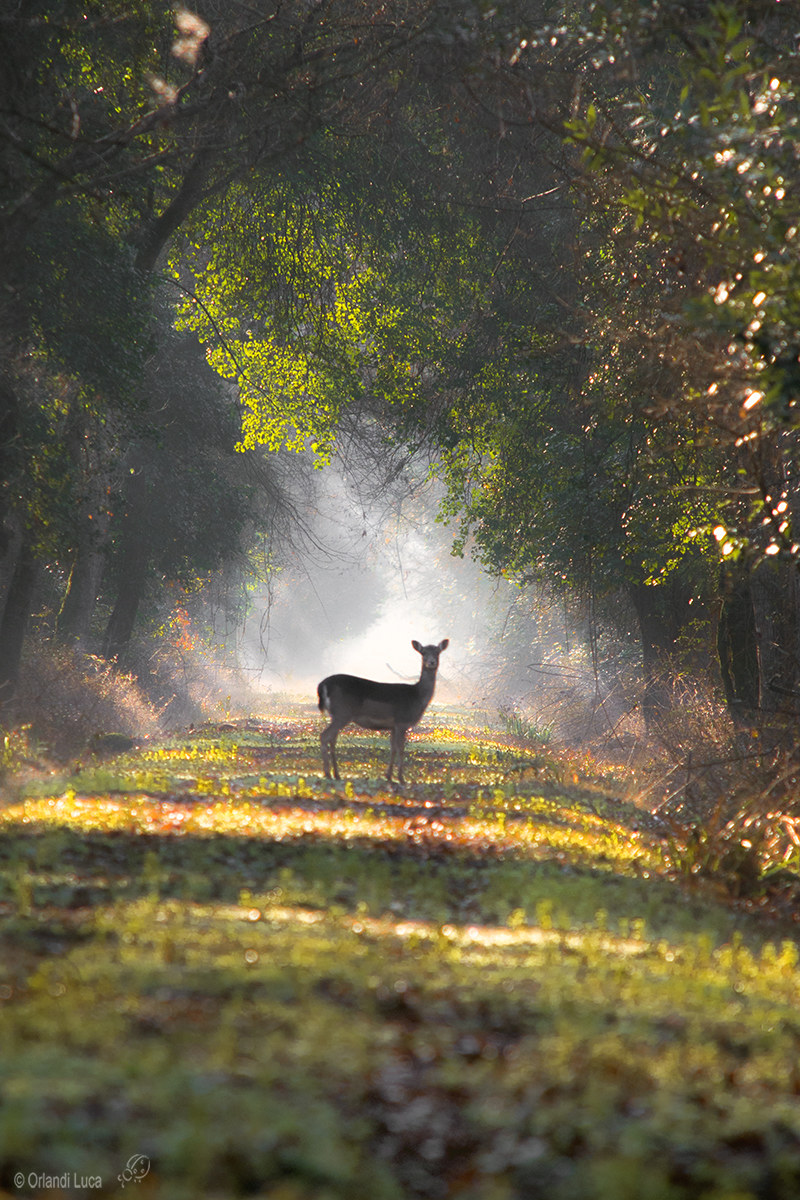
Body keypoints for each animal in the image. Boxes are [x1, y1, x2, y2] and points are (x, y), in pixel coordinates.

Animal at [317, 639, 449, 785]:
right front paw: (401, 778)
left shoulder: (393, 726)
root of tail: (323, 685)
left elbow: (393, 749)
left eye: (437, 652)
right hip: (343, 712)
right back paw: (327, 773)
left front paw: (389, 776)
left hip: (336, 714)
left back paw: (336, 774)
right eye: (423, 653)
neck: (417, 697)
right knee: (324, 736)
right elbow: (401, 749)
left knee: (332, 739)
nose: (431, 662)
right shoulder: (402, 721)